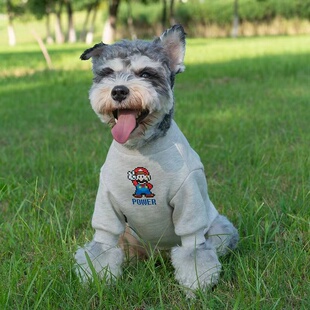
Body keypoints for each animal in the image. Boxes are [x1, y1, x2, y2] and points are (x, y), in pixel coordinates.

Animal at [75, 24, 240, 298]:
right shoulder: (107, 209)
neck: (139, 149)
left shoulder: (189, 205)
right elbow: (100, 249)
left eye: (146, 73)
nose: (118, 90)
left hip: (220, 228)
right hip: (127, 235)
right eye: (107, 73)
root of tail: (157, 255)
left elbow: (195, 254)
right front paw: (95, 282)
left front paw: (196, 287)